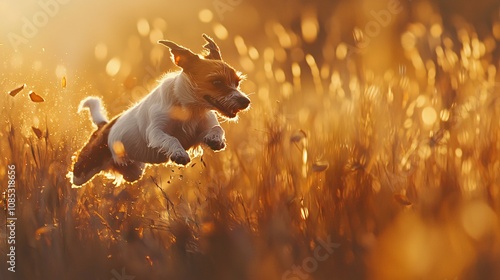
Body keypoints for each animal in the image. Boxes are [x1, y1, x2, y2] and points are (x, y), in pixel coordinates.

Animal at [71, 34, 250, 186]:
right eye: (216, 82)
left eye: (237, 82)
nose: (246, 101)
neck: (188, 109)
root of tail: (103, 126)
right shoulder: (155, 132)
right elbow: (171, 139)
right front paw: (179, 153)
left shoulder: (200, 131)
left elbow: (217, 129)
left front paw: (215, 139)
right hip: (82, 170)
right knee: (74, 178)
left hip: (134, 171)